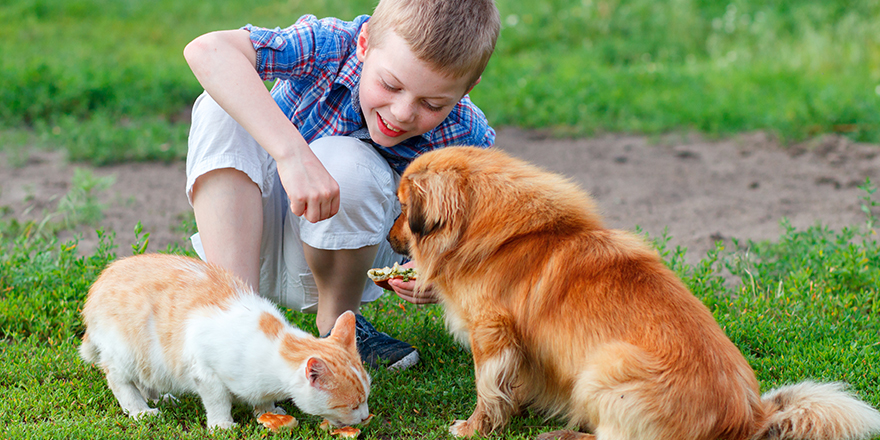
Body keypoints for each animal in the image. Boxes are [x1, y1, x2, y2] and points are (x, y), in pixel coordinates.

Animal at [79, 254, 372, 430]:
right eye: (352, 405)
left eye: (366, 399)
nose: (364, 417)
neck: (275, 343)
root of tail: (98, 284)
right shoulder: (204, 371)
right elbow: (218, 400)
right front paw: (222, 425)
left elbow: (263, 399)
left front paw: (268, 411)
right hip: (126, 351)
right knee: (120, 379)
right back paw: (141, 410)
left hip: (150, 361)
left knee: (145, 378)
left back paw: (161, 397)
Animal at [390, 147, 880, 440]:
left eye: (401, 207)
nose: (390, 237)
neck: (502, 235)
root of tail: (752, 418)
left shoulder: (491, 335)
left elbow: (489, 389)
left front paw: (475, 427)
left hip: (605, 365)